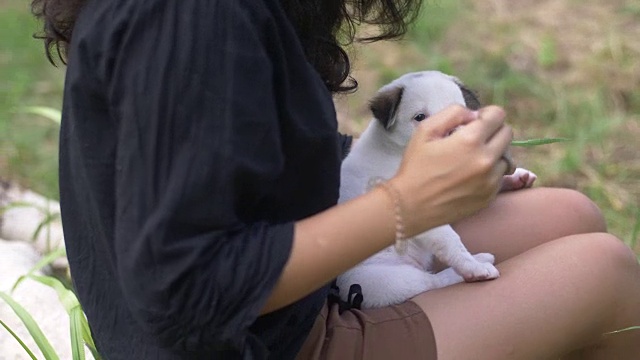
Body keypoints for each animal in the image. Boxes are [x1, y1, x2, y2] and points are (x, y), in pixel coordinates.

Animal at [338, 71, 536, 310]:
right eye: (420, 117)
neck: (400, 152)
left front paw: (516, 177)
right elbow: (452, 243)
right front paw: (473, 267)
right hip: (383, 280)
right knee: (430, 282)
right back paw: (475, 265)